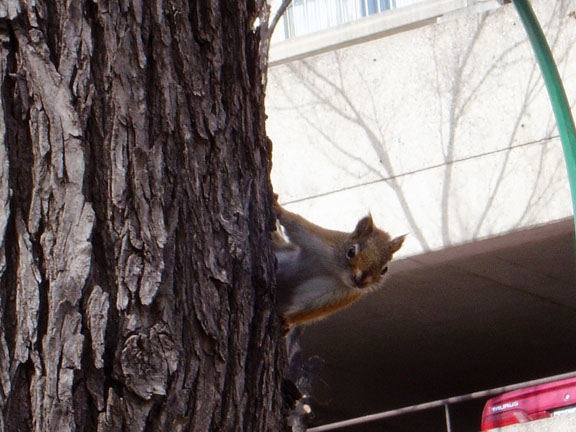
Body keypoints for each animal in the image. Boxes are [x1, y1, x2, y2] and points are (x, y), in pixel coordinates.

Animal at [274, 200, 404, 330]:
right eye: (351, 251)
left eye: (384, 270)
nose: (360, 281)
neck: (336, 272)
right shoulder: (323, 241)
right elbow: (296, 225)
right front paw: (277, 207)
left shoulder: (345, 294)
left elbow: (313, 308)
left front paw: (288, 320)